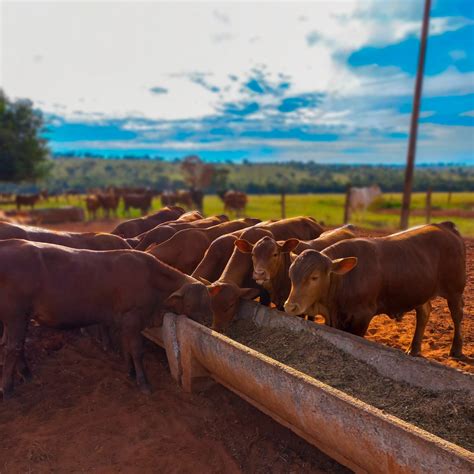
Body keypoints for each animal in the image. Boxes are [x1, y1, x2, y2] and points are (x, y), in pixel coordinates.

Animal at [0, 239, 211, 398]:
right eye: (191, 305)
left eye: (208, 302)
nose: (207, 323)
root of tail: (11, 243)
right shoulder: (133, 318)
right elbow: (136, 350)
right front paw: (143, 383)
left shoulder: (125, 321)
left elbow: (126, 348)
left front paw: (130, 373)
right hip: (16, 315)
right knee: (13, 347)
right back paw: (8, 388)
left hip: (15, 318)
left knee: (14, 346)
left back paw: (27, 375)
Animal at [284, 224, 464, 358]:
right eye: (291, 275)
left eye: (314, 277)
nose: (290, 306)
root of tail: (444, 226)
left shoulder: (362, 317)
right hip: (419, 292)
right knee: (424, 312)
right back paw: (414, 349)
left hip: (455, 291)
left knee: (457, 315)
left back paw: (456, 350)